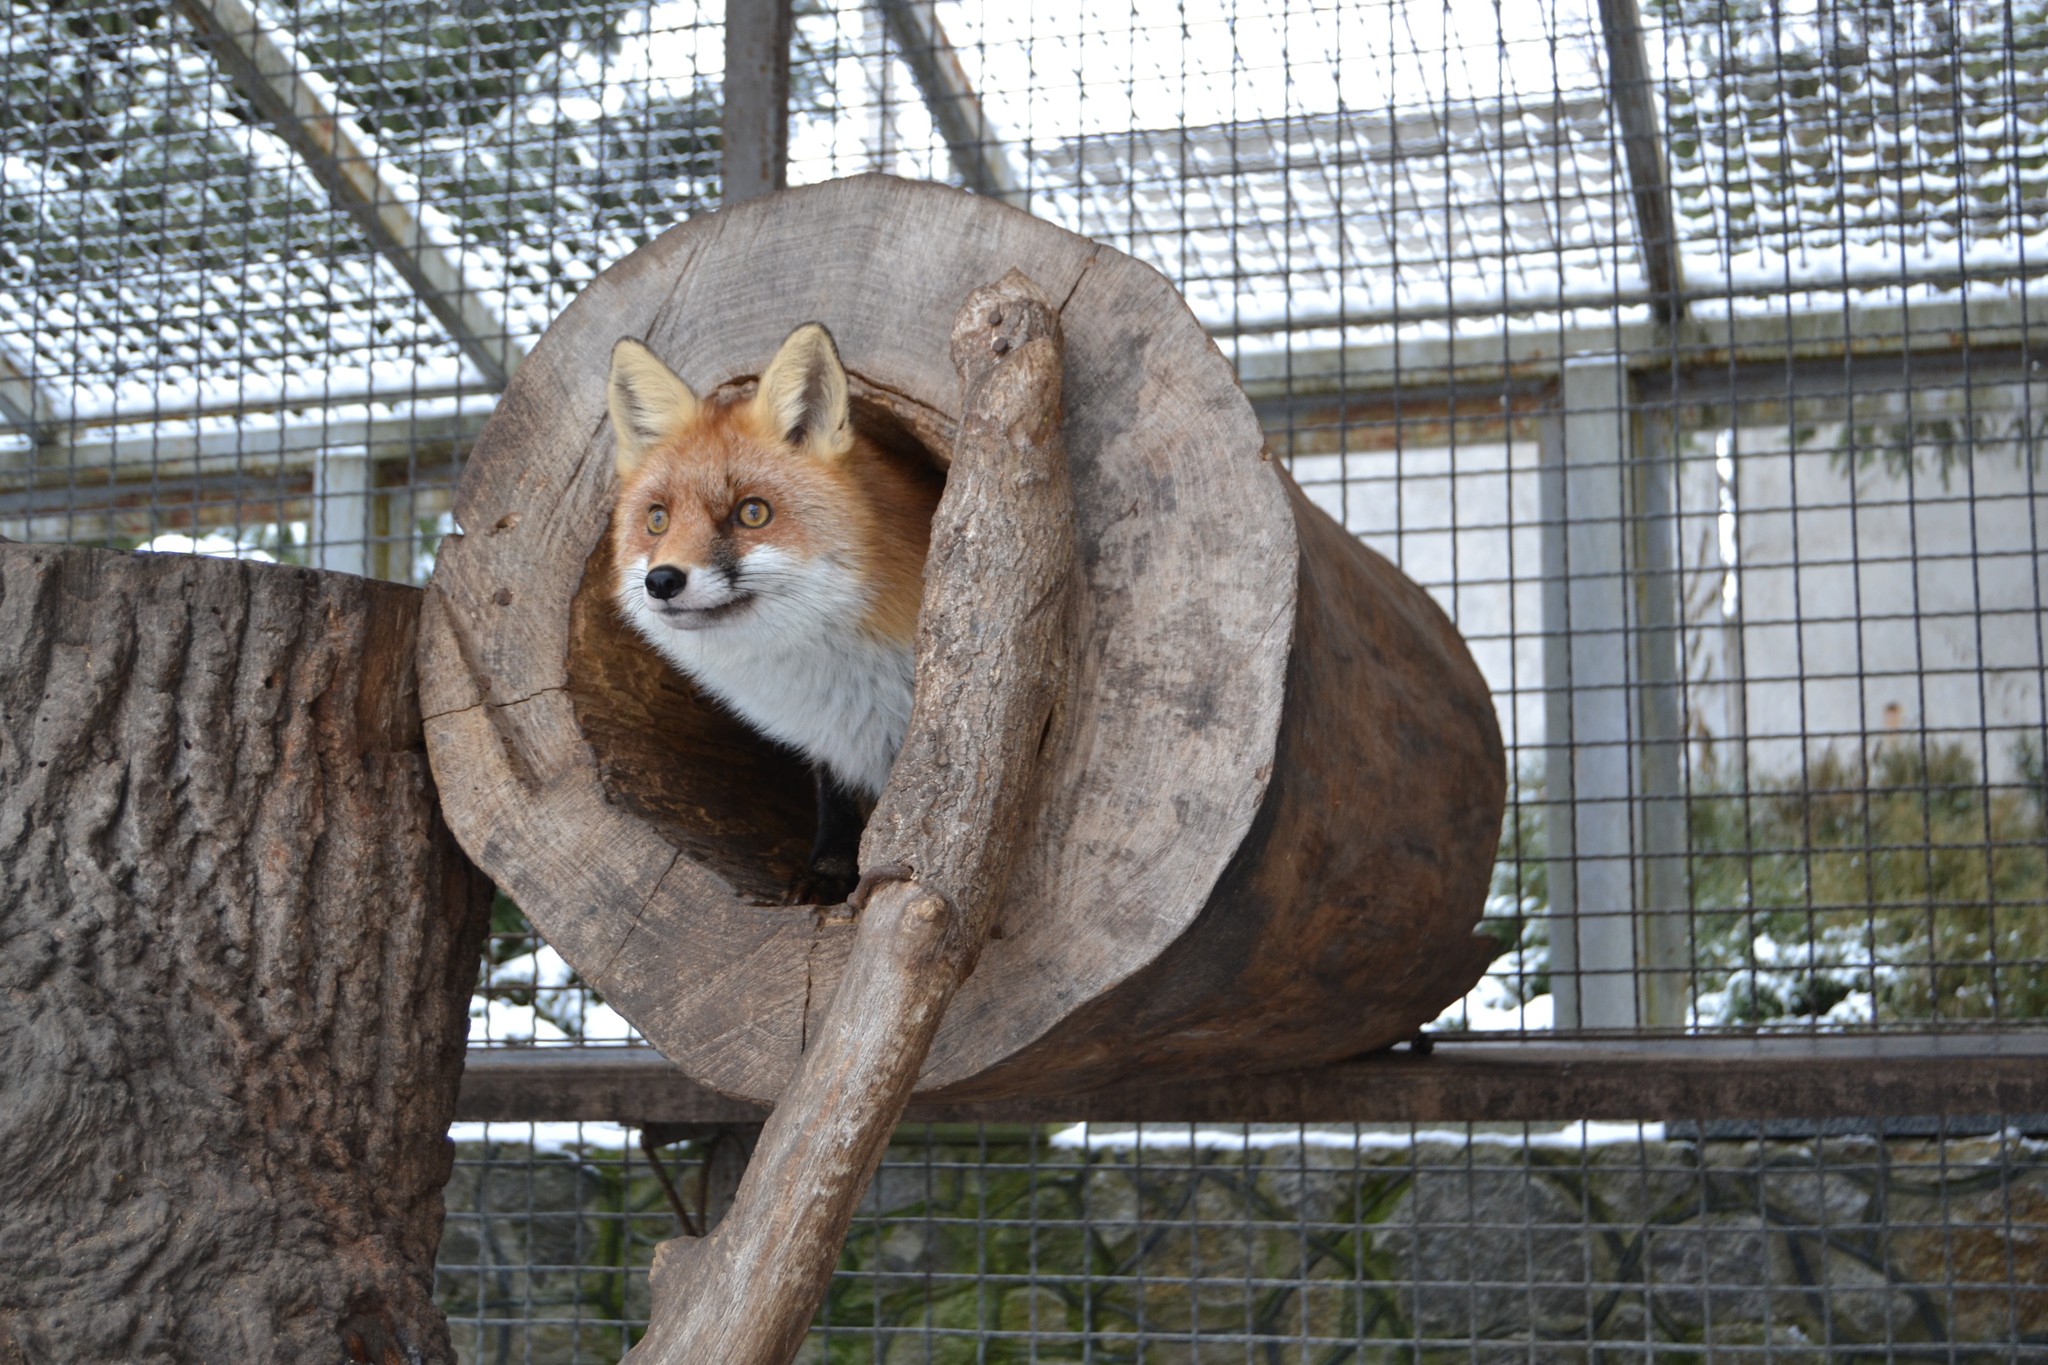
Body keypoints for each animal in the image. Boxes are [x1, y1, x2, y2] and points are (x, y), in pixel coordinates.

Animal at [598, 325, 937, 900]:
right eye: (657, 519)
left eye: (752, 513)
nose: (661, 581)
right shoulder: (837, 752)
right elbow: (837, 808)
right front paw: (828, 875)